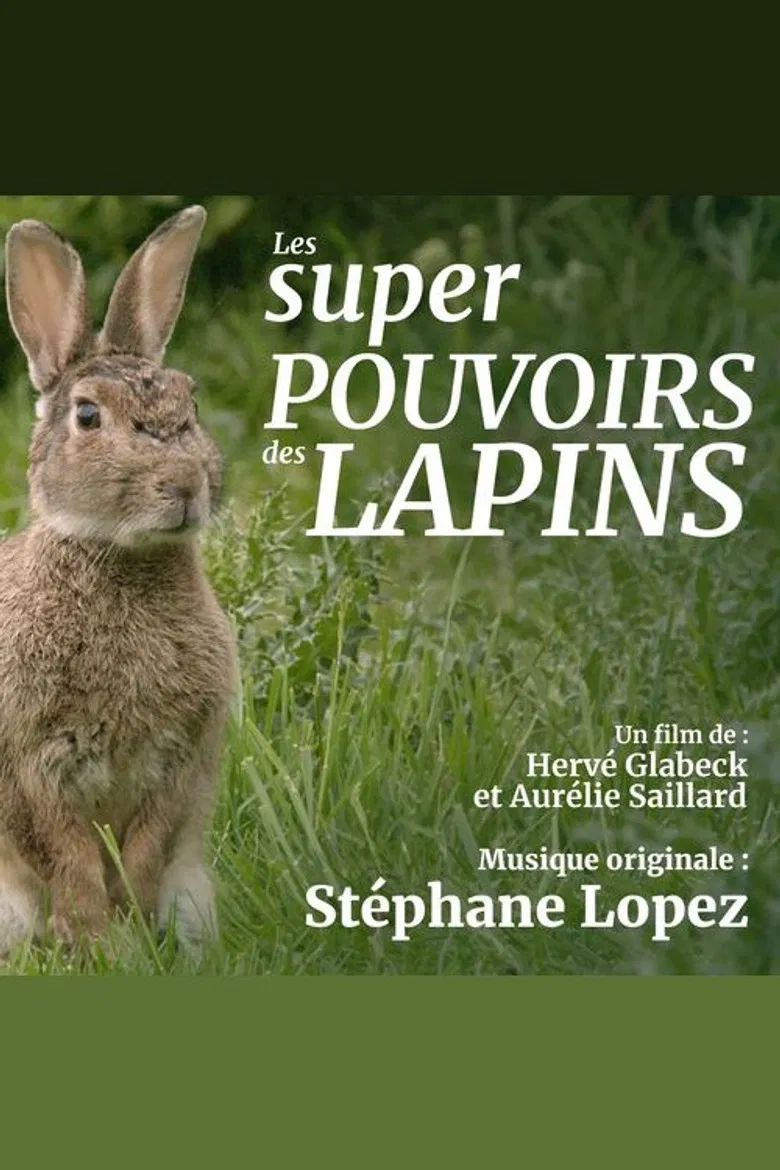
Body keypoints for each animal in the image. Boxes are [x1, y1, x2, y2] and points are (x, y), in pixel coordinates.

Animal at [0, 205, 238, 956]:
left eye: (190, 405)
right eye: (87, 415)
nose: (184, 484)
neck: (119, 558)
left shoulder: (177, 762)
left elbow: (144, 853)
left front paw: (130, 934)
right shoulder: (32, 767)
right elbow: (69, 857)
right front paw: (96, 945)